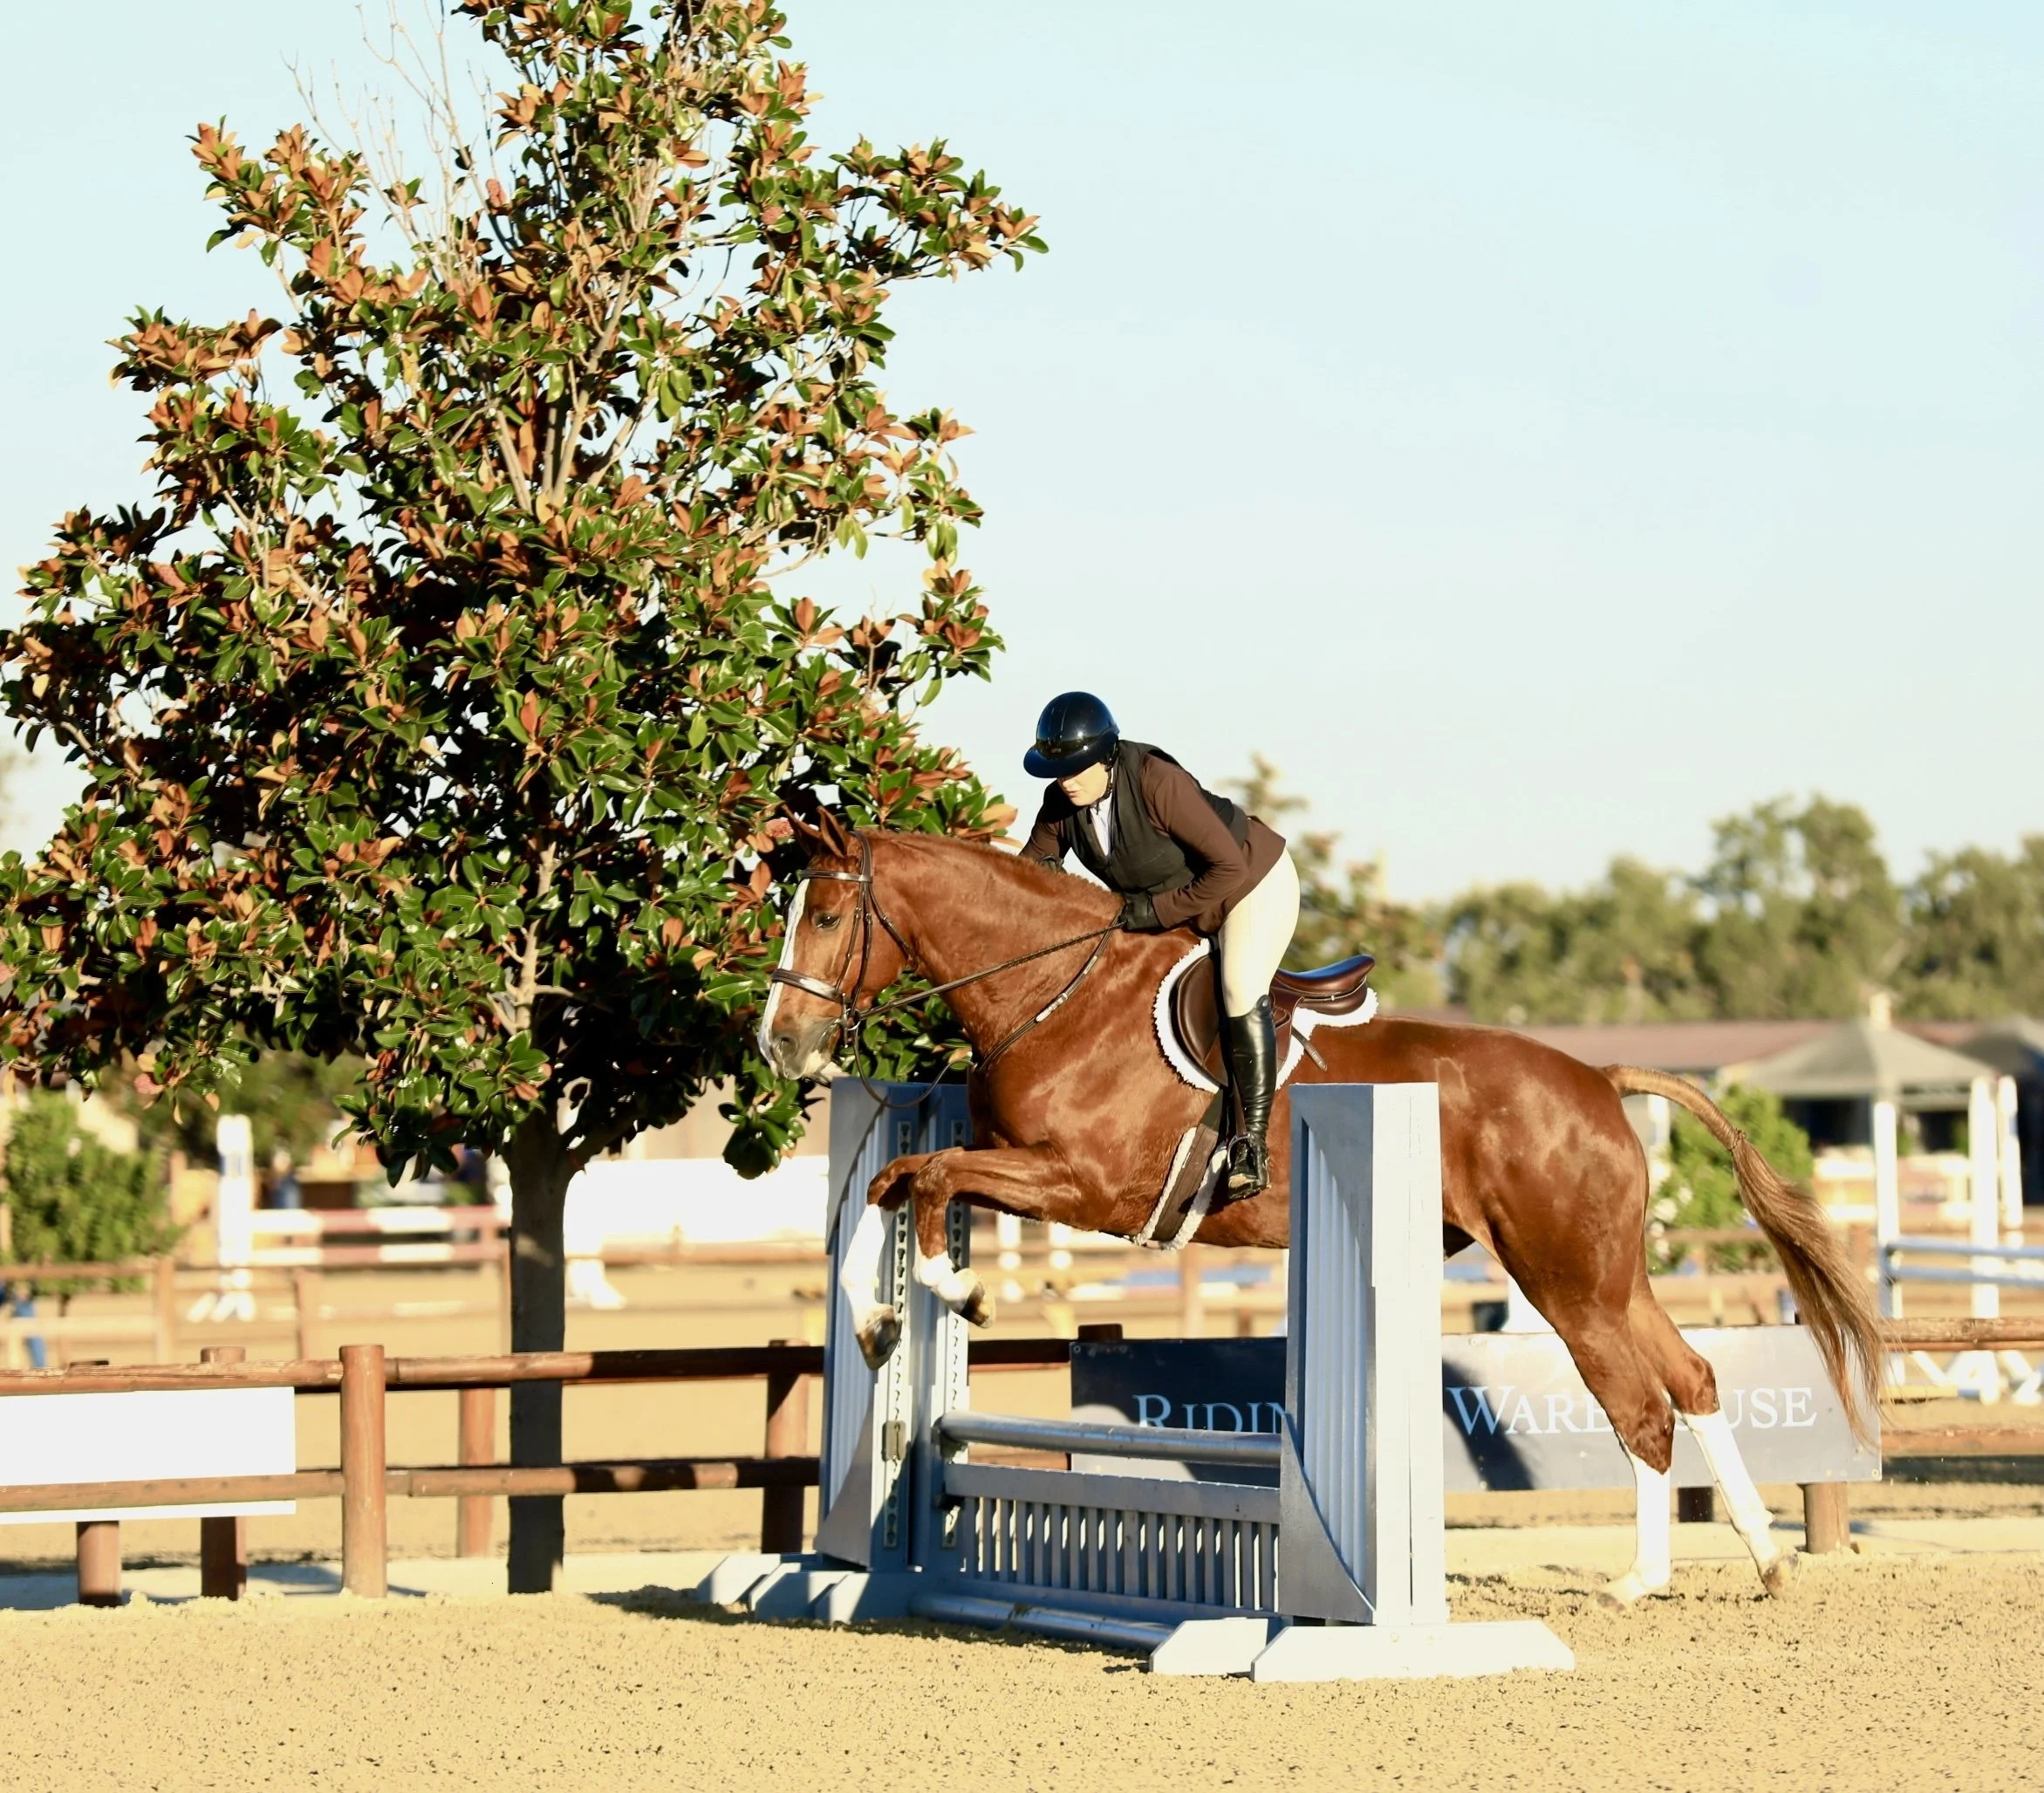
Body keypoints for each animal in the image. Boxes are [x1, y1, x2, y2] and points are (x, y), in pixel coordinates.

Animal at [756, 815, 1882, 1605]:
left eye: (826, 916)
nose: (780, 1043)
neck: (1056, 994)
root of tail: (1600, 1079)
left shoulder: (1088, 1185)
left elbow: (932, 1182)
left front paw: (959, 1292)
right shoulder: (1020, 1167)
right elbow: (893, 1185)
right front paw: (880, 1319)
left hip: (1565, 1280)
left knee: (1641, 1405)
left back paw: (1643, 1578)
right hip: (1604, 1272)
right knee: (1691, 1379)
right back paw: (1764, 1559)